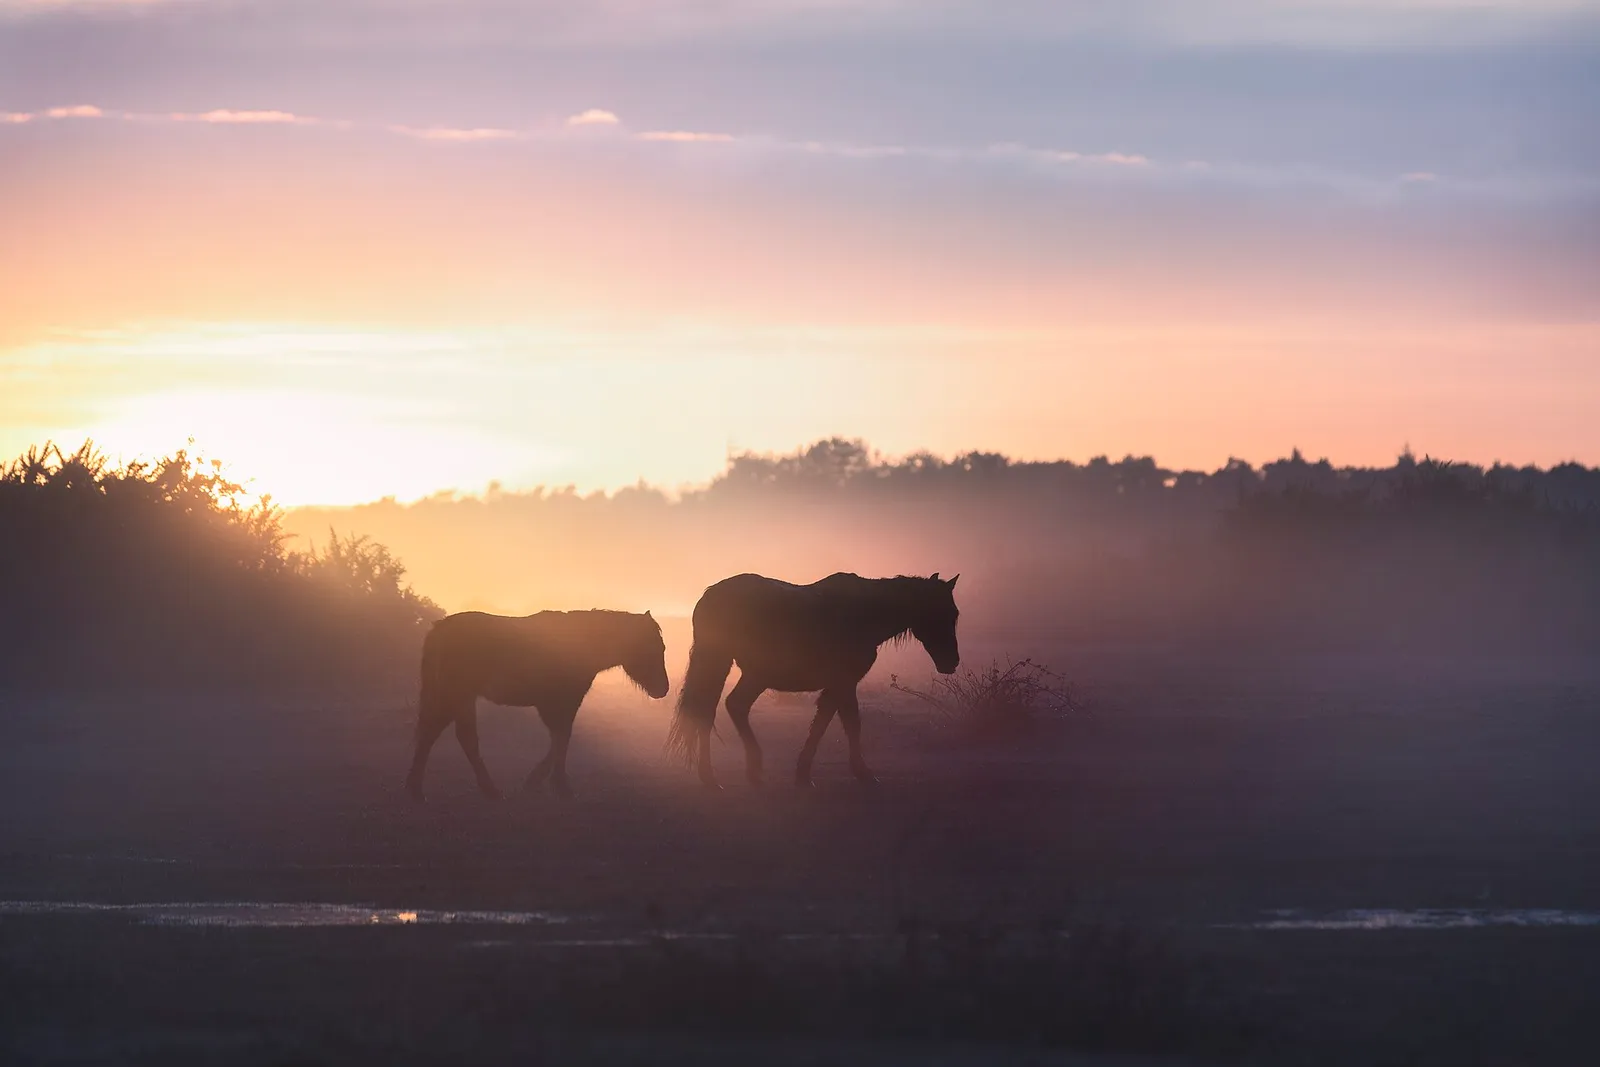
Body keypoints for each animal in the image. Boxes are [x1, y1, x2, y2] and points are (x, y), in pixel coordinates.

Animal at [405, 608, 669, 801]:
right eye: (652, 646)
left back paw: (417, 788)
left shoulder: (558, 704)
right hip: (458, 695)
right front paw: (558, 785)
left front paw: (538, 781)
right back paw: (486, 790)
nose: (663, 689)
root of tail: (440, 629)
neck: (577, 643)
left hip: (456, 697)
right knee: (459, 737)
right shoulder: (560, 702)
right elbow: (562, 738)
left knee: (438, 734)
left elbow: (559, 739)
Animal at [666, 572, 960, 788]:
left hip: (743, 671)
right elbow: (844, 724)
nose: (951, 663)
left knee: (720, 709)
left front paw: (808, 771)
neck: (862, 613)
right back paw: (732, 772)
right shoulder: (844, 683)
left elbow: (830, 722)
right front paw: (858, 772)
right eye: (940, 613)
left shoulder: (839, 685)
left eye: (954, 614)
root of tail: (710, 596)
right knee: (721, 708)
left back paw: (730, 773)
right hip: (739, 669)